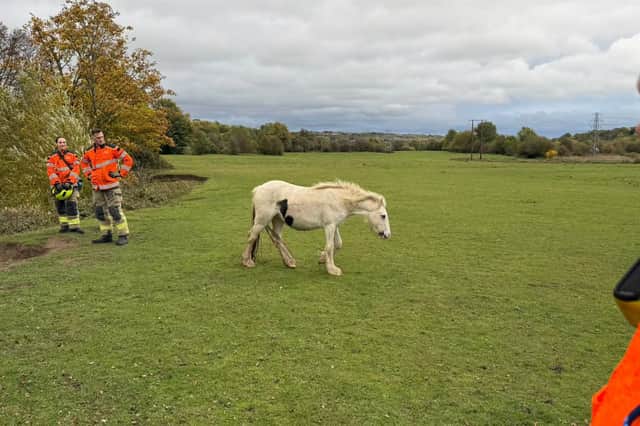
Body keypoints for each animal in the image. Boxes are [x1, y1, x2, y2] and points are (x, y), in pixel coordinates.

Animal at [241, 180, 391, 276]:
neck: (339, 200)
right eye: (383, 216)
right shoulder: (329, 226)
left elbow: (338, 244)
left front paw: (323, 259)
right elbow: (330, 246)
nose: (387, 235)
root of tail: (258, 189)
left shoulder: (334, 225)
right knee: (252, 237)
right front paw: (332, 270)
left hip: (277, 220)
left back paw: (289, 262)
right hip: (261, 221)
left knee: (277, 238)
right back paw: (247, 262)